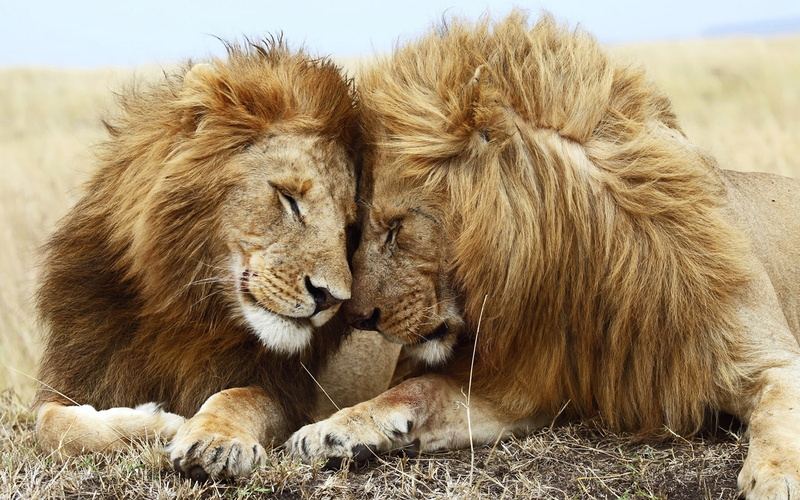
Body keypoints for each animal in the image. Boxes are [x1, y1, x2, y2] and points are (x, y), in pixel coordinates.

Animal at [32, 39, 398, 481]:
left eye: (349, 228)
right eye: (289, 198)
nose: (331, 297)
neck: (185, 309)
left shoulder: (287, 393)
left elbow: (239, 397)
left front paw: (213, 440)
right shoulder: (78, 374)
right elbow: (51, 425)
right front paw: (157, 423)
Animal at [286, 13, 800, 499]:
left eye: (395, 227)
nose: (357, 318)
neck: (583, 266)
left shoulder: (770, 358)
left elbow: (781, 413)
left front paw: (778, 479)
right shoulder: (526, 384)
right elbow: (419, 388)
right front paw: (330, 430)